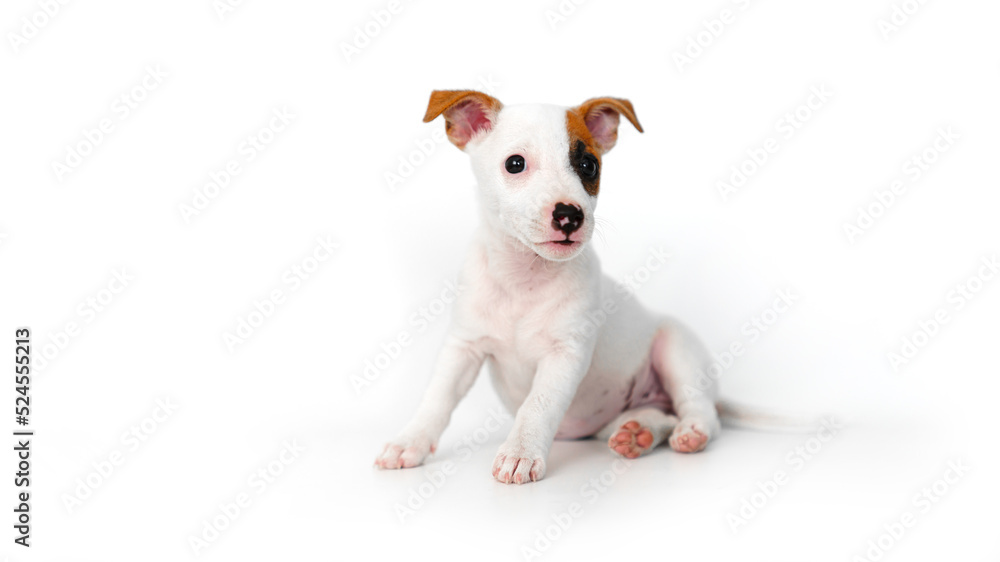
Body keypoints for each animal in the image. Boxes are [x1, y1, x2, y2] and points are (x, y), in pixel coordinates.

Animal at [372, 91, 732, 482]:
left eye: (588, 165)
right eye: (515, 164)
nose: (569, 215)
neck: (524, 278)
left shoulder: (565, 354)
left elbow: (538, 404)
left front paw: (520, 453)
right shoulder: (463, 346)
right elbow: (437, 397)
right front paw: (409, 442)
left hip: (676, 347)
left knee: (700, 411)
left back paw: (691, 432)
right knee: (660, 416)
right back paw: (639, 433)